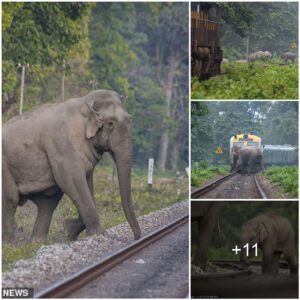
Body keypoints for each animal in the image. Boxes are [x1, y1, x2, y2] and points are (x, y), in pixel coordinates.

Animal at [2, 89, 141, 244]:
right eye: (111, 123)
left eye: (130, 119)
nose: (135, 238)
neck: (85, 102)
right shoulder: (63, 148)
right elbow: (71, 180)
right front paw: (97, 234)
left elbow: (87, 184)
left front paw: (68, 230)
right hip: (5, 167)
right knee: (11, 199)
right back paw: (10, 245)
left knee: (47, 203)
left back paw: (36, 244)